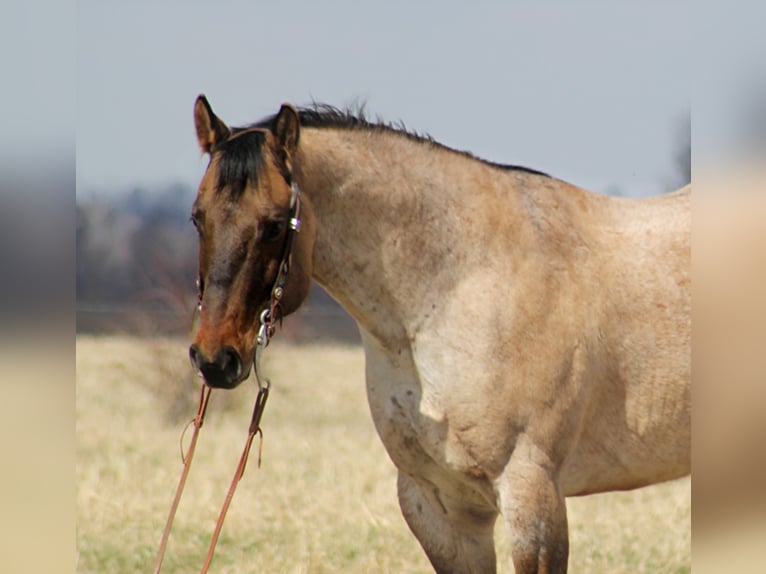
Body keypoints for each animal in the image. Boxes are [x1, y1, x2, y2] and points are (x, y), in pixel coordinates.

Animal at [189, 95, 692, 574]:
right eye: (198, 217)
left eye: (275, 224)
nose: (215, 358)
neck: (460, 281)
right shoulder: (439, 507)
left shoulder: (533, 496)